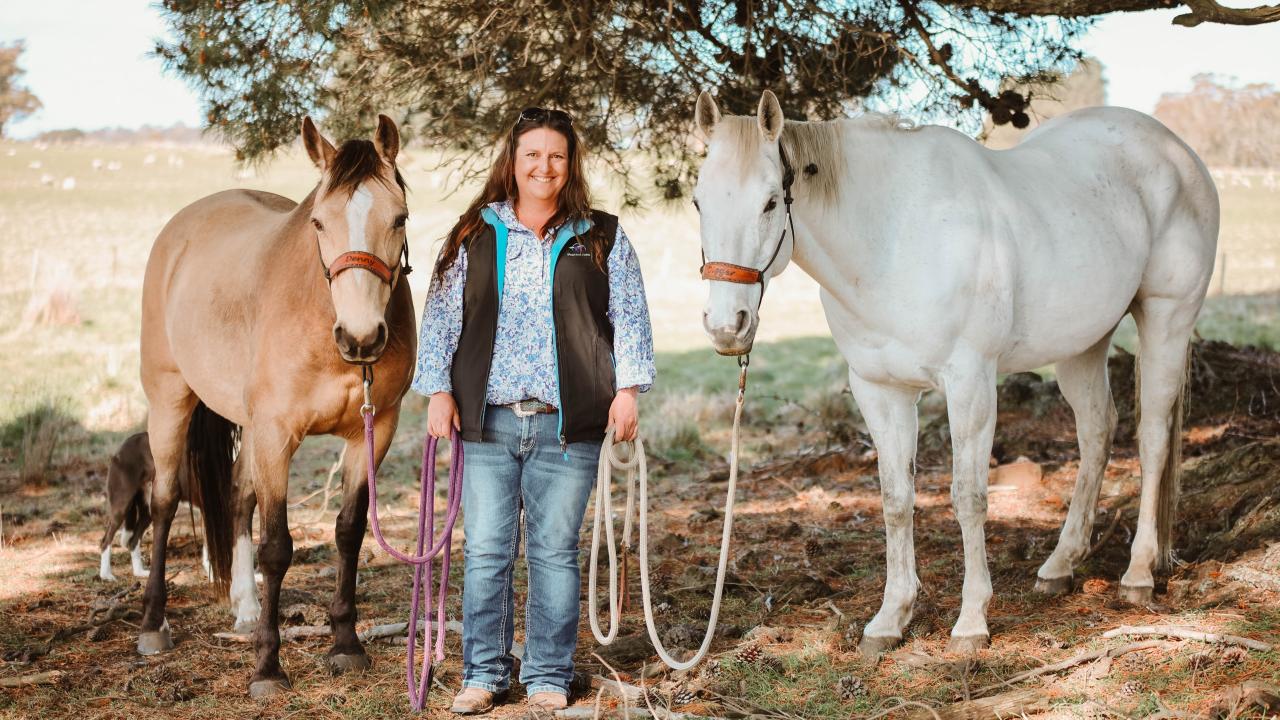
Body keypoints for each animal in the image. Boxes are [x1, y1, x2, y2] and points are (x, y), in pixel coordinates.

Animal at [136, 114, 414, 691]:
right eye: (319, 224)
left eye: (398, 218)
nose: (360, 338)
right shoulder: (276, 434)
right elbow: (277, 547)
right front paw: (268, 665)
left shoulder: (374, 431)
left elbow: (349, 532)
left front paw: (346, 643)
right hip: (169, 401)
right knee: (165, 500)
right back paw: (153, 624)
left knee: (239, 495)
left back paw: (244, 607)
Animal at [696, 88, 1213, 650]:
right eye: (699, 202)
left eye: (771, 201)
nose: (726, 325)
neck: (893, 238)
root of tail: (1178, 151)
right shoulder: (880, 391)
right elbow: (896, 499)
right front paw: (890, 618)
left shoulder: (969, 383)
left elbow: (969, 498)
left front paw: (971, 621)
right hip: (1082, 345)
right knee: (1097, 432)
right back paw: (1060, 564)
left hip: (1166, 320)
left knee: (1152, 439)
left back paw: (1138, 574)